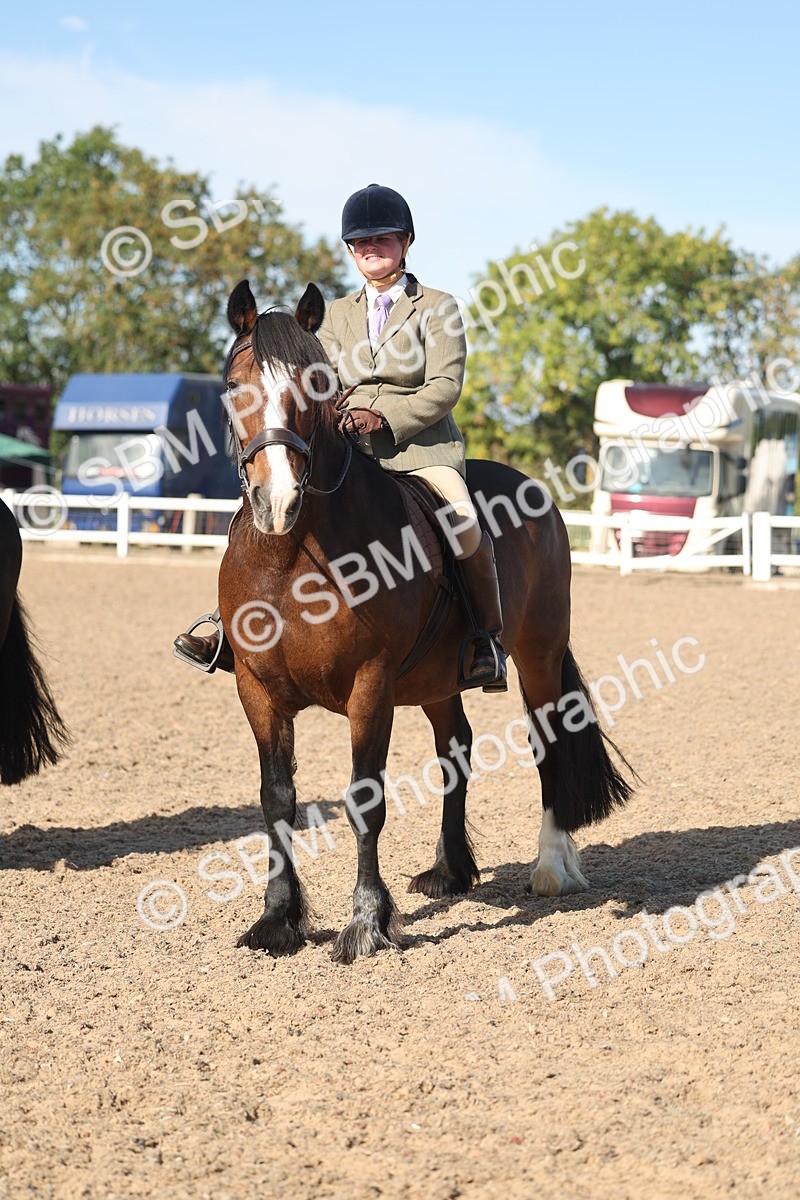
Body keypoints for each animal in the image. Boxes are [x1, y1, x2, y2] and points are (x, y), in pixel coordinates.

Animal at [217, 279, 633, 964]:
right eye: (233, 386)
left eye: (316, 386)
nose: (277, 501)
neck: (291, 557)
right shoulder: (257, 689)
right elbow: (276, 800)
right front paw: (277, 920)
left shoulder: (371, 686)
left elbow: (364, 800)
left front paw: (366, 924)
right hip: (439, 680)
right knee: (454, 749)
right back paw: (451, 871)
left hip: (539, 656)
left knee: (546, 744)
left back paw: (552, 869)